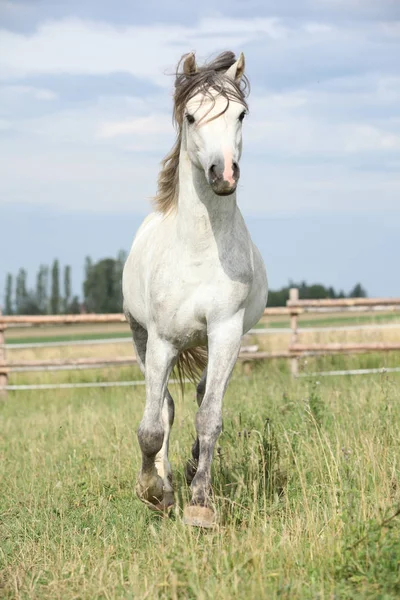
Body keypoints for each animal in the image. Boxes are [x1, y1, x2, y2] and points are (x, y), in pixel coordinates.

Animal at [122, 52, 266, 528]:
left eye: (241, 114)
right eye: (190, 115)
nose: (223, 173)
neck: (201, 249)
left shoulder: (225, 331)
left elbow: (209, 418)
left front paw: (201, 504)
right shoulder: (162, 341)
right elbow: (152, 426)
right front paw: (153, 491)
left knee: (203, 395)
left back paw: (187, 472)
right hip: (142, 338)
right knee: (164, 406)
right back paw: (165, 481)